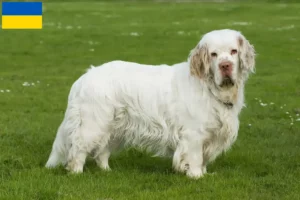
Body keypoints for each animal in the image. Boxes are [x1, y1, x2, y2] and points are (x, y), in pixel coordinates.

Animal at [46, 28, 255, 178]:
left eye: (233, 51)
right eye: (213, 54)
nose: (225, 66)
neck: (210, 88)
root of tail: (85, 76)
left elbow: (203, 159)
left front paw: (204, 174)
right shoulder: (194, 134)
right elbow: (195, 157)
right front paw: (196, 176)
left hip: (114, 127)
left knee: (102, 152)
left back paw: (107, 171)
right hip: (93, 124)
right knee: (78, 149)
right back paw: (76, 173)